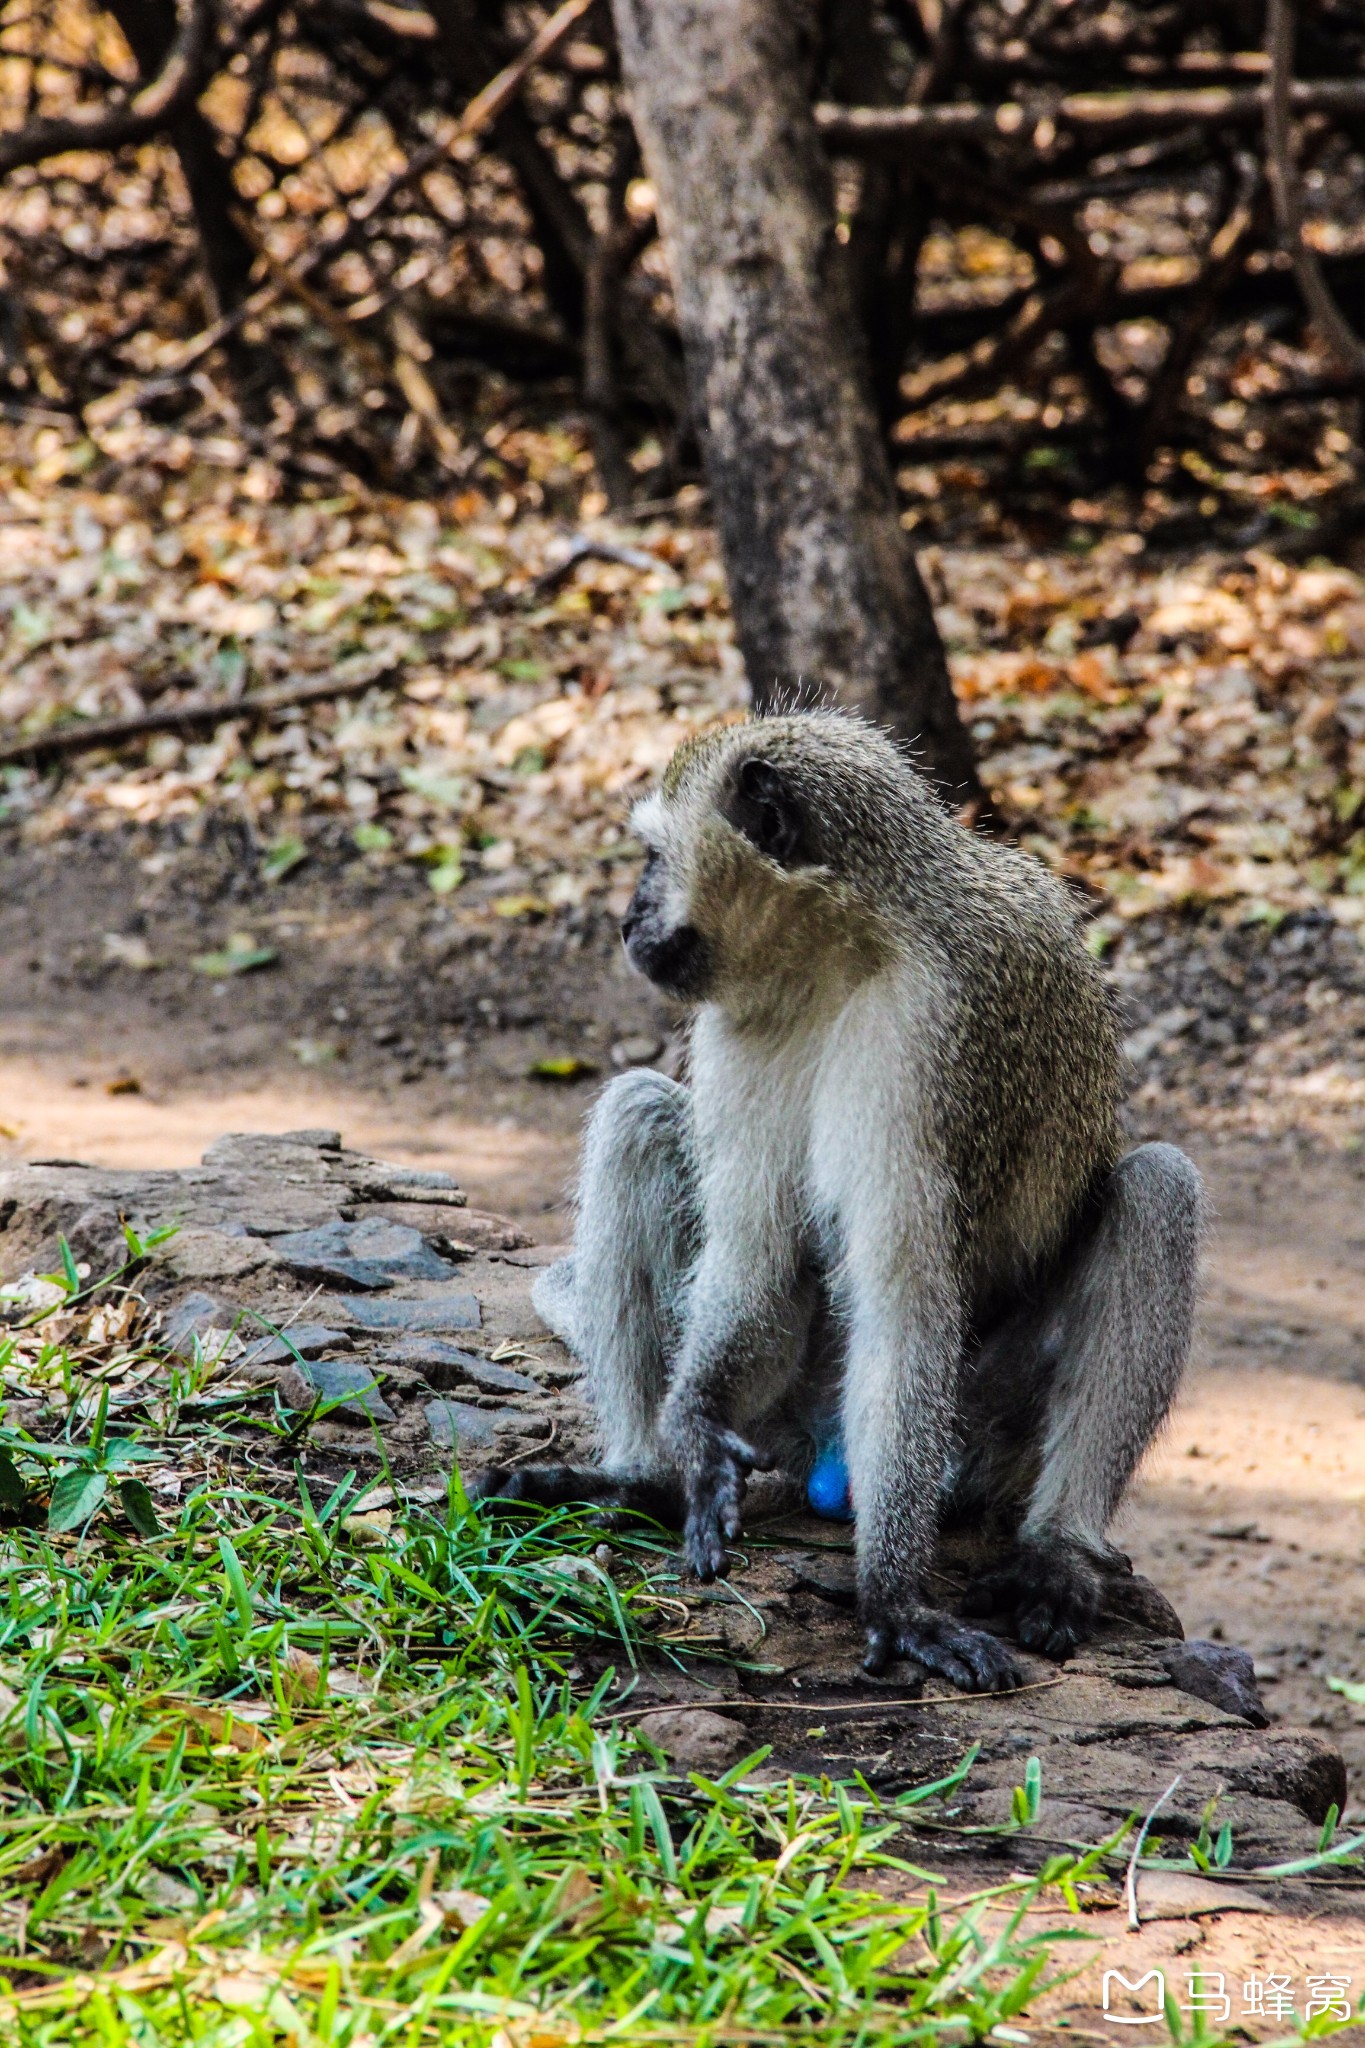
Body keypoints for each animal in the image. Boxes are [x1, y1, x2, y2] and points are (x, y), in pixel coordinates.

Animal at [472, 712, 1203, 1687]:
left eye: (654, 857)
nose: (626, 918)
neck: (844, 947)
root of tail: (820, 1453)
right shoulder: (736, 1023)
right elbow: (754, 1249)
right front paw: (691, 1430)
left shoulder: (924, 1035)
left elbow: (900, 1300)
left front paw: (892, 1598)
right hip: (782, 1402)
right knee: (636, 1113)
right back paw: (644, 1480)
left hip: (979, 1438)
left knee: (1157, 1188)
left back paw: (1057, 1551)